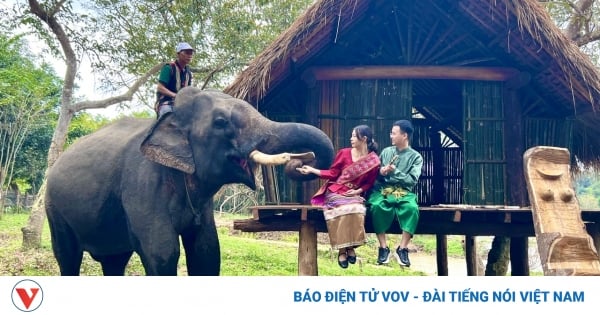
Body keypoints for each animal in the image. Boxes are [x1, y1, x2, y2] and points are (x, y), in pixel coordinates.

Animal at [45, 87, 338, 276]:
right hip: (54, 209)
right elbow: (162, 252)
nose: (302, 162)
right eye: (221, 122)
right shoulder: (142, 185)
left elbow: (207, 252)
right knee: (67, 257)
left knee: (114, 261)